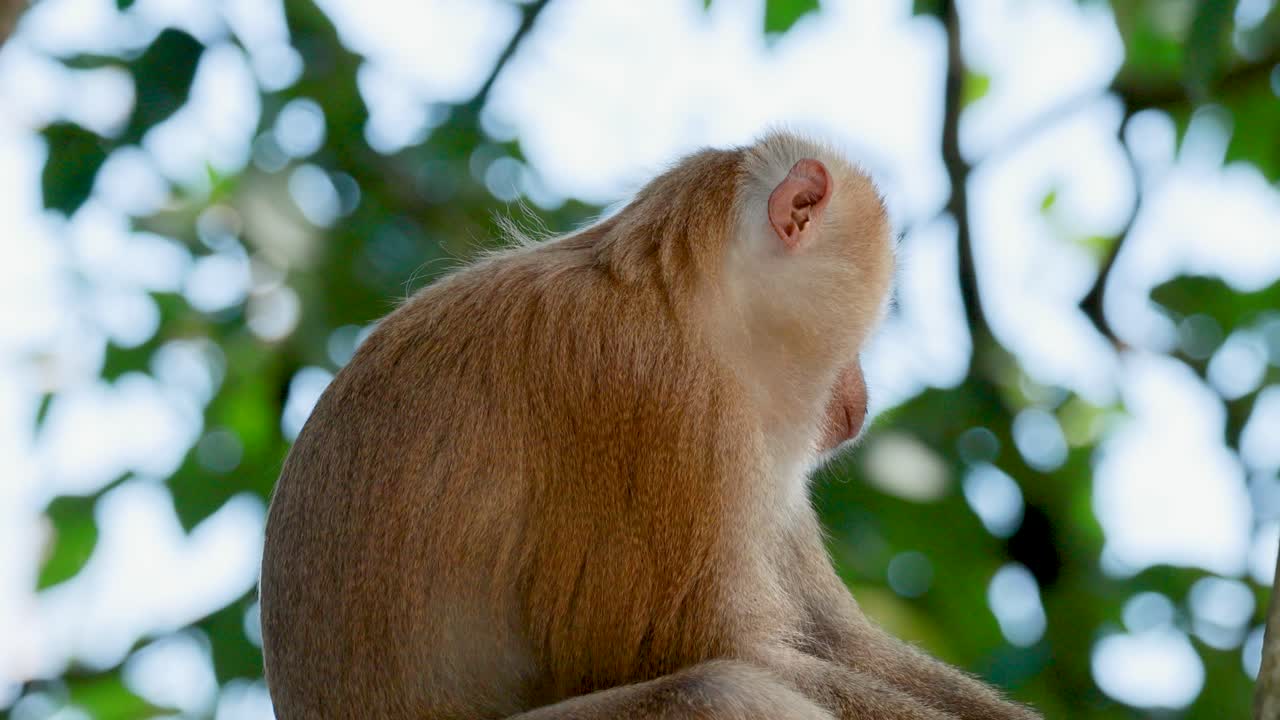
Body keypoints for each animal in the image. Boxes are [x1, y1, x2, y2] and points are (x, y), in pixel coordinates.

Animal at [258, 130, 1041, 720]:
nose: (859, 399)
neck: (686, 300)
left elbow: (833, 640)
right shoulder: (657, 396)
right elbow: (701, 651)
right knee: (717, 693)